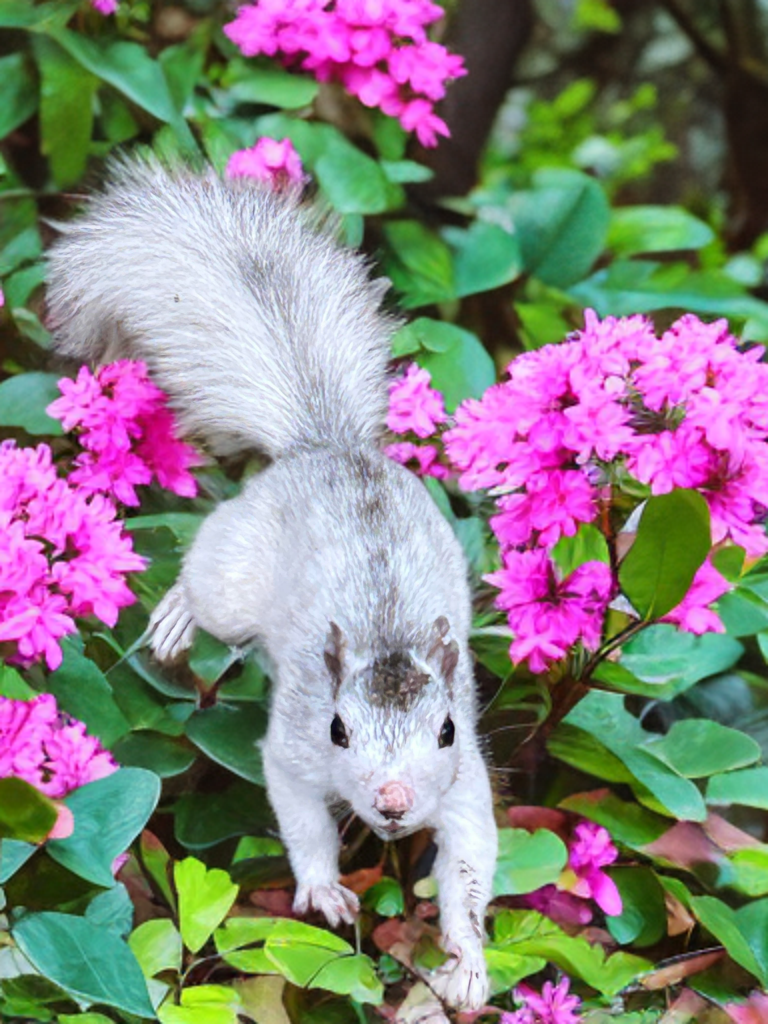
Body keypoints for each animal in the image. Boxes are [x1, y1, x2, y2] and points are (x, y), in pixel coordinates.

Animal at [45, 156, 498, 1011]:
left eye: (447, 731)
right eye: (339, 730)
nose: (392, 803)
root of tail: (327, 447)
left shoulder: (464, 784)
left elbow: (469, 862)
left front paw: (466, 958)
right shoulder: (293, 745)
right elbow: (300, 815)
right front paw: (322, 889)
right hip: (233, 573)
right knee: (206, 582)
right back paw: (176, 618)